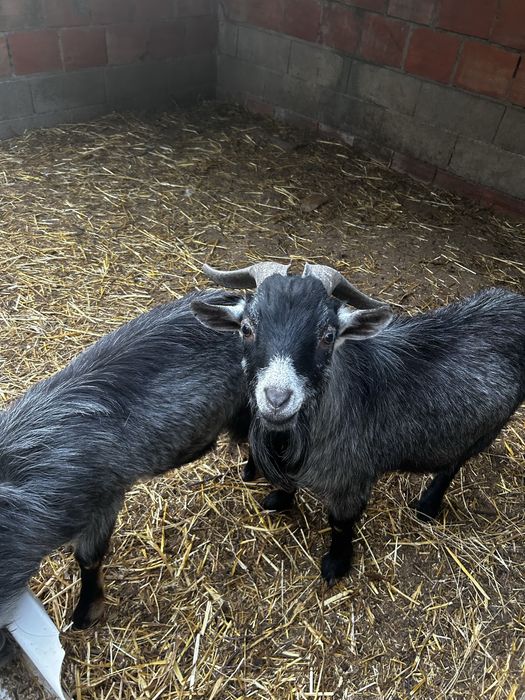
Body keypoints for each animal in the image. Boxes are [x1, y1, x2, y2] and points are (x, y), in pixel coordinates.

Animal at [192, 261, 525, 585]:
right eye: (246, 329)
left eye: (328, 336)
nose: (277, 398)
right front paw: (280, 498)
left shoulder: (352, 478)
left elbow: (340, 524)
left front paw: (337, 564)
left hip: (490, 427)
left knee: (454, 463)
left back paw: (428, 505)